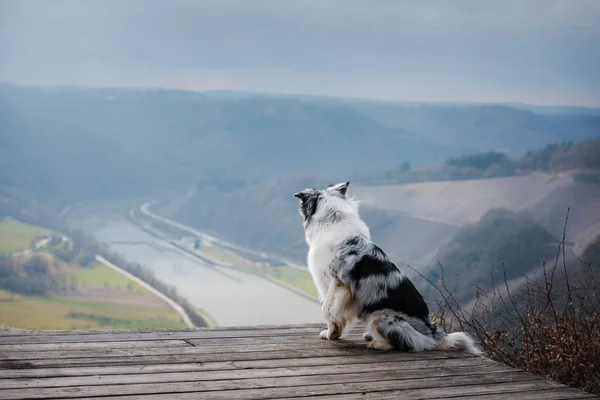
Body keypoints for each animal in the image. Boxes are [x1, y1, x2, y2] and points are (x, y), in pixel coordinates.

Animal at [296, 180, 482, 354]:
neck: (333, 220)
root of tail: (433, 334)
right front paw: (334, 332)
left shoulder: (338, 282)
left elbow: (327, 309)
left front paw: (331, 333)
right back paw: (370, 336)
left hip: (380, 317)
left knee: (406, 343)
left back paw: (376, 343)